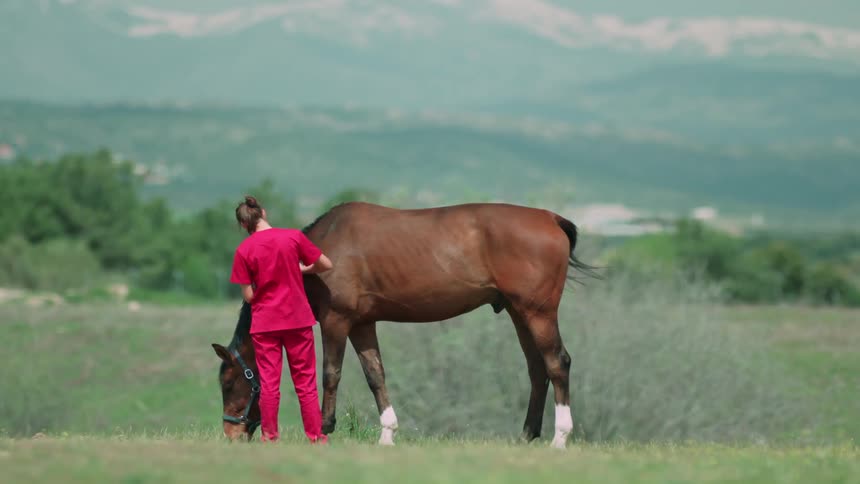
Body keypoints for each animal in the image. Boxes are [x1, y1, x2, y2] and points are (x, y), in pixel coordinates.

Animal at [212, 201, 598, 448]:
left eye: (228, 383)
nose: (230, 434)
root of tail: (551, 219)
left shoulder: (337, 319)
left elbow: (331, 373)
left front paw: (324, 428)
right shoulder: (363, 324)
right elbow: (375, 375)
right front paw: (387, 433)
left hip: (538, 312)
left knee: (557, 363)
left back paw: (560, 437)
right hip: (520, 314)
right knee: (537, 369)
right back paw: (527, 434)